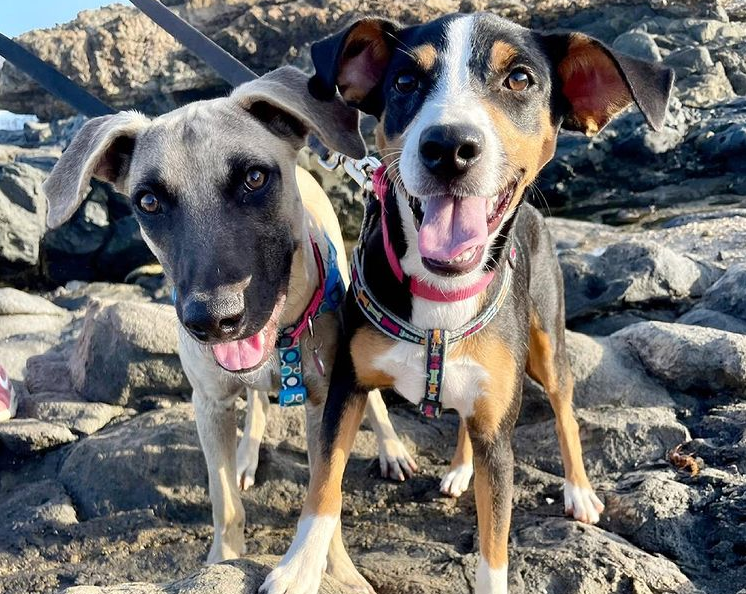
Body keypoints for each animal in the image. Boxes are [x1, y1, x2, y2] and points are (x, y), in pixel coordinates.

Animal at [43, 66, 416, 588]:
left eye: (255, 178)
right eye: (149, 201)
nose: (212, 320)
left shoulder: (323, 403)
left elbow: (327, 491)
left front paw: (337, 571)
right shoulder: (209, 404)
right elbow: (225, 502)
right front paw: (223, 558)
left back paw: (391, 448)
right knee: (256, 403)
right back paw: (247, 453)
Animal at [262, 10, 676, 592]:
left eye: (520, 79)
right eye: (405, 82)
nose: (449, 146)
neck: (441, 297)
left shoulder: (498, 436)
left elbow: (494, 544)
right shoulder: (347, 386)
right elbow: (324, 483)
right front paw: (299, 567)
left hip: (547, 346)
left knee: (564, 413)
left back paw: (578, 492)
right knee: (462, 418)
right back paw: (460, 469)